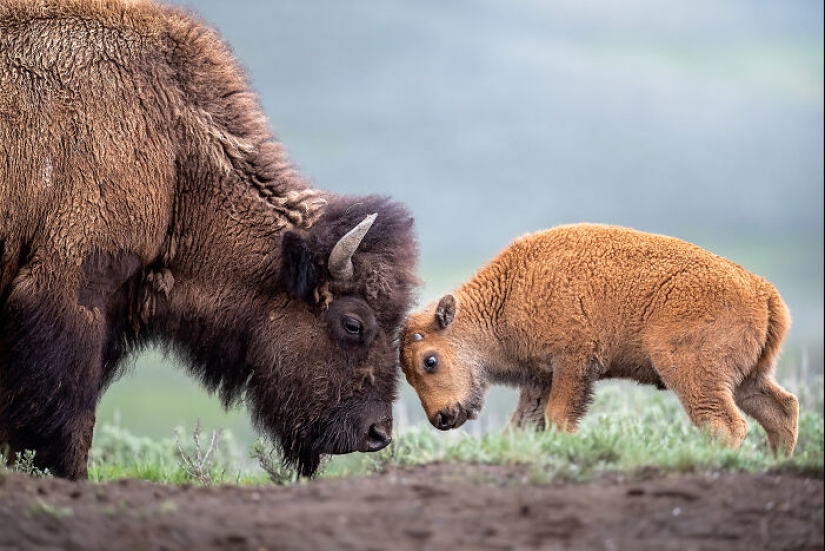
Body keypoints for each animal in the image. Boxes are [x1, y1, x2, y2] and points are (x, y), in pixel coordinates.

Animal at [400, 224, 800, 458]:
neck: (509, 294)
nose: (442, 417)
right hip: (748, 379)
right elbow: (522, 424)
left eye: (429, 360)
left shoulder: (572, 364)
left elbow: (558, 416)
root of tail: (762, 290)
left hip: (692, 373)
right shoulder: (540, 378)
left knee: (723, 423)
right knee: (781, 409)